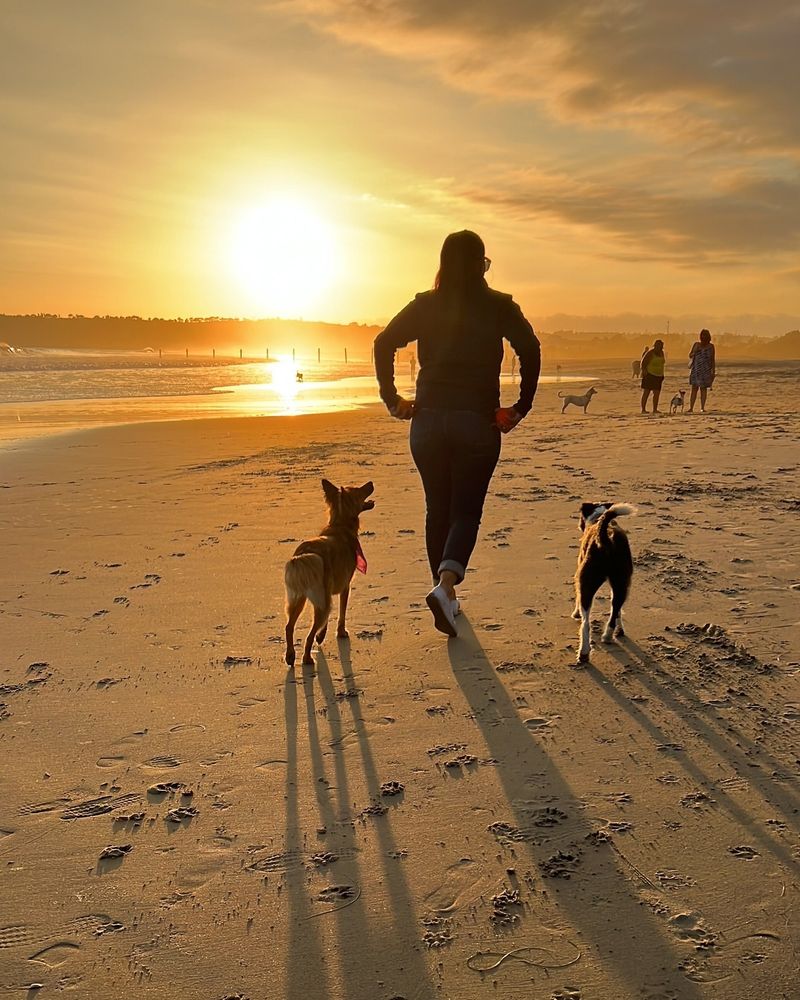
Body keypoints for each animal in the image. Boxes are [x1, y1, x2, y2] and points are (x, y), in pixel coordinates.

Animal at [284, 480, 376, 668]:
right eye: (359, 489)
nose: (370, 482)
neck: (340, 524)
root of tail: (303, 554)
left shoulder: (326, 594)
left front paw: (322, 635)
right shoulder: (345, 587)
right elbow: (342, 612)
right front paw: (340, 632)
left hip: (299, 598)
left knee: (289, 626)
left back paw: (290, 656)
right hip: (320, 600)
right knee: (309, 634)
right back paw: (307, 658)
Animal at [568, 504, 636, 660]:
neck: (597, 518)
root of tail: (606, 538)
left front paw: (576, 613)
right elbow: (617, 611)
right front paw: (620, 628)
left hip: (587, 581)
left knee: (586, 623)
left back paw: (584, 652)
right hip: (622, 582)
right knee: (615, 607)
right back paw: (608, 635)